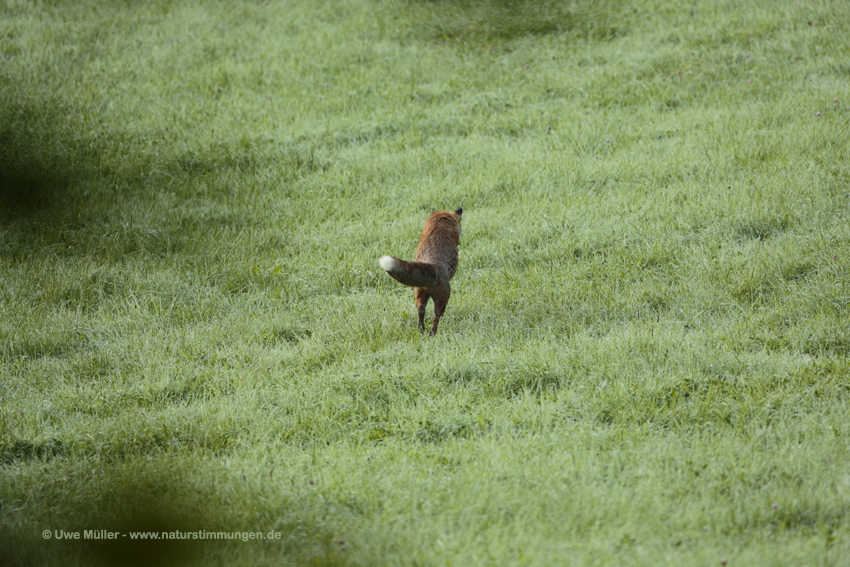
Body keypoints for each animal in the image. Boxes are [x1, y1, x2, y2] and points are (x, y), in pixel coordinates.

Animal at [380, 207, 460, 336]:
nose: (459, 209)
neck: (439, 222)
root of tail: (432, 265)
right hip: (443, 298)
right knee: (436, 316)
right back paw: (432, 333)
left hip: (419, 294)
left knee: (421, 311)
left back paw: (421, 330)